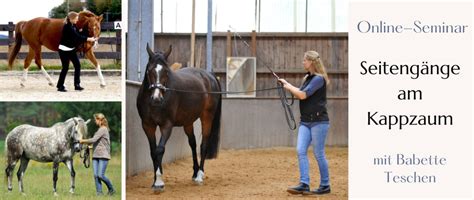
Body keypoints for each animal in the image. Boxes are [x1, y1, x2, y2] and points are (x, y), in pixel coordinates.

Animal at [135, 44, 220, 192]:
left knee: (203, 144)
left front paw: (159, 182)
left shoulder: (167, 126)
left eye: (166, 72)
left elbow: (160, 150)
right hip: (188, 122)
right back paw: (195, 173)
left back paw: (200, 175)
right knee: (193, 144)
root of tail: (209, 75)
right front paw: (155, 181)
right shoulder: (147, 126)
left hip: (207, 117)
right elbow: (153, 152)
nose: (156, 98)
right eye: (150, 70)